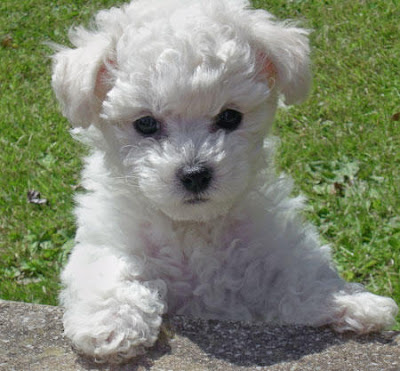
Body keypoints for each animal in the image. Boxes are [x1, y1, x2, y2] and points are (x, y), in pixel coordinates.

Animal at [51, 0, 398, 364]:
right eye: (145, 123)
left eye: (230, 117)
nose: (194, 174)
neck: (193, 227)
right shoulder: (108, 237)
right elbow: (110, 266)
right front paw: (111, 323)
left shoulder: (268, 249)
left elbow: (298, 273)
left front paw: (349, 302)